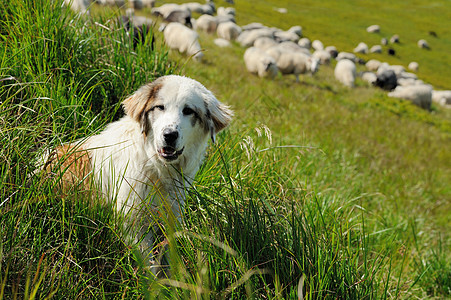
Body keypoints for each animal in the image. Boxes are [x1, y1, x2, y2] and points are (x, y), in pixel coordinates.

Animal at [39, 75, 233, 274]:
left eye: (188, 111)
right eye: (160, 107)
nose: (169, 135)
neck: (156, 168)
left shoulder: (170, 219)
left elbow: (167, 259)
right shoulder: (133, 224)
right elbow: (150, 267)